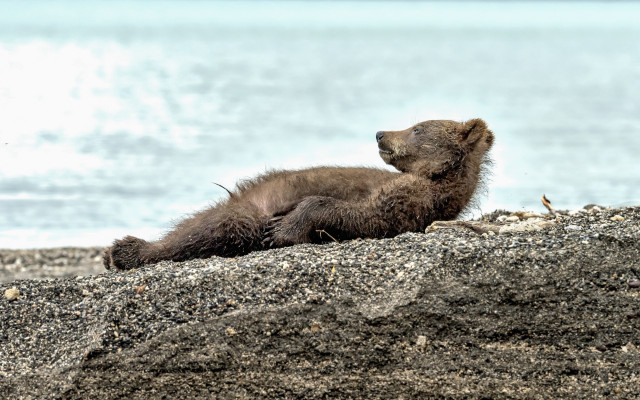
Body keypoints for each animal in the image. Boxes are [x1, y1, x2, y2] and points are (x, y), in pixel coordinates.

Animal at [103, 118, 494, 270]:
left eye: (417, 129)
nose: (381, 133)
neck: (434, 178)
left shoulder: (414, 202)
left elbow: (361, 214)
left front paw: (284, 229)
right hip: (249, 192)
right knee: (198, 222)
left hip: (245, 213)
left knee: (218, 228)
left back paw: (127, 250)